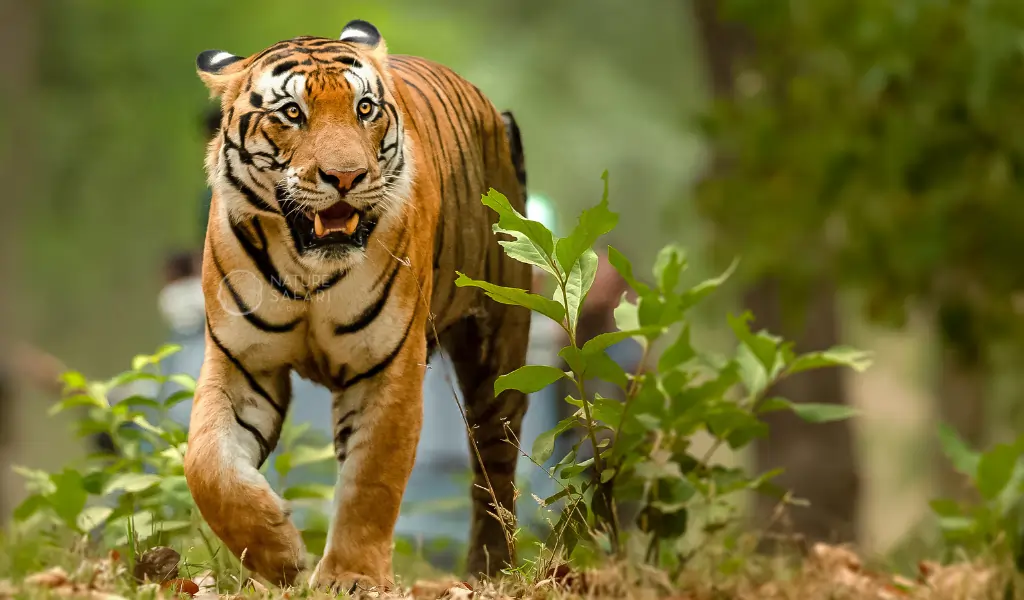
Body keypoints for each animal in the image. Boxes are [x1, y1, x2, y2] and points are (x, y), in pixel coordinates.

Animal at [184, 19, 531, 591]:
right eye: (292, 113)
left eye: (364, 109)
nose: (346, 177)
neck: (307, 269)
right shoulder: (242, 362)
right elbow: (208, 465)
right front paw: (279, 553)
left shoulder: (386, 366)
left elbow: (372, 479)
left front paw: (352, 577)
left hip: (499, 345)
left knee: (495, 464)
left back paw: (490, 570)